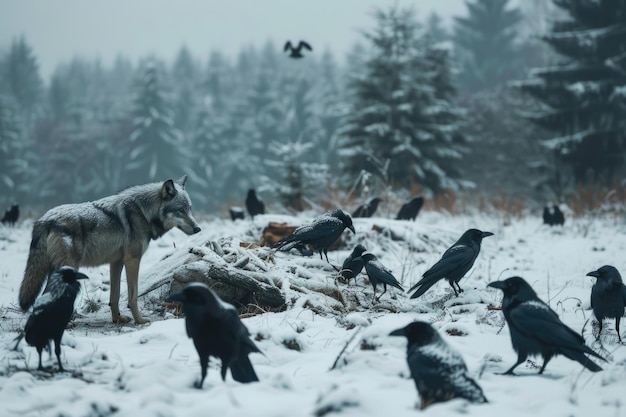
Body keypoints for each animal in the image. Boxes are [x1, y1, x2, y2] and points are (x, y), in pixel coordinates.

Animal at [18, 174, 200, 324]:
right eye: (180, 210)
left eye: (190, 208)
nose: (198, 228)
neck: (144, 212)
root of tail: (45, 220)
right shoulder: (132, 260)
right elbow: (132, 296)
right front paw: (140, 321)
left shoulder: (116, 262)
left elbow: (115, 295)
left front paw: (117, 319)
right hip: (68, 270)